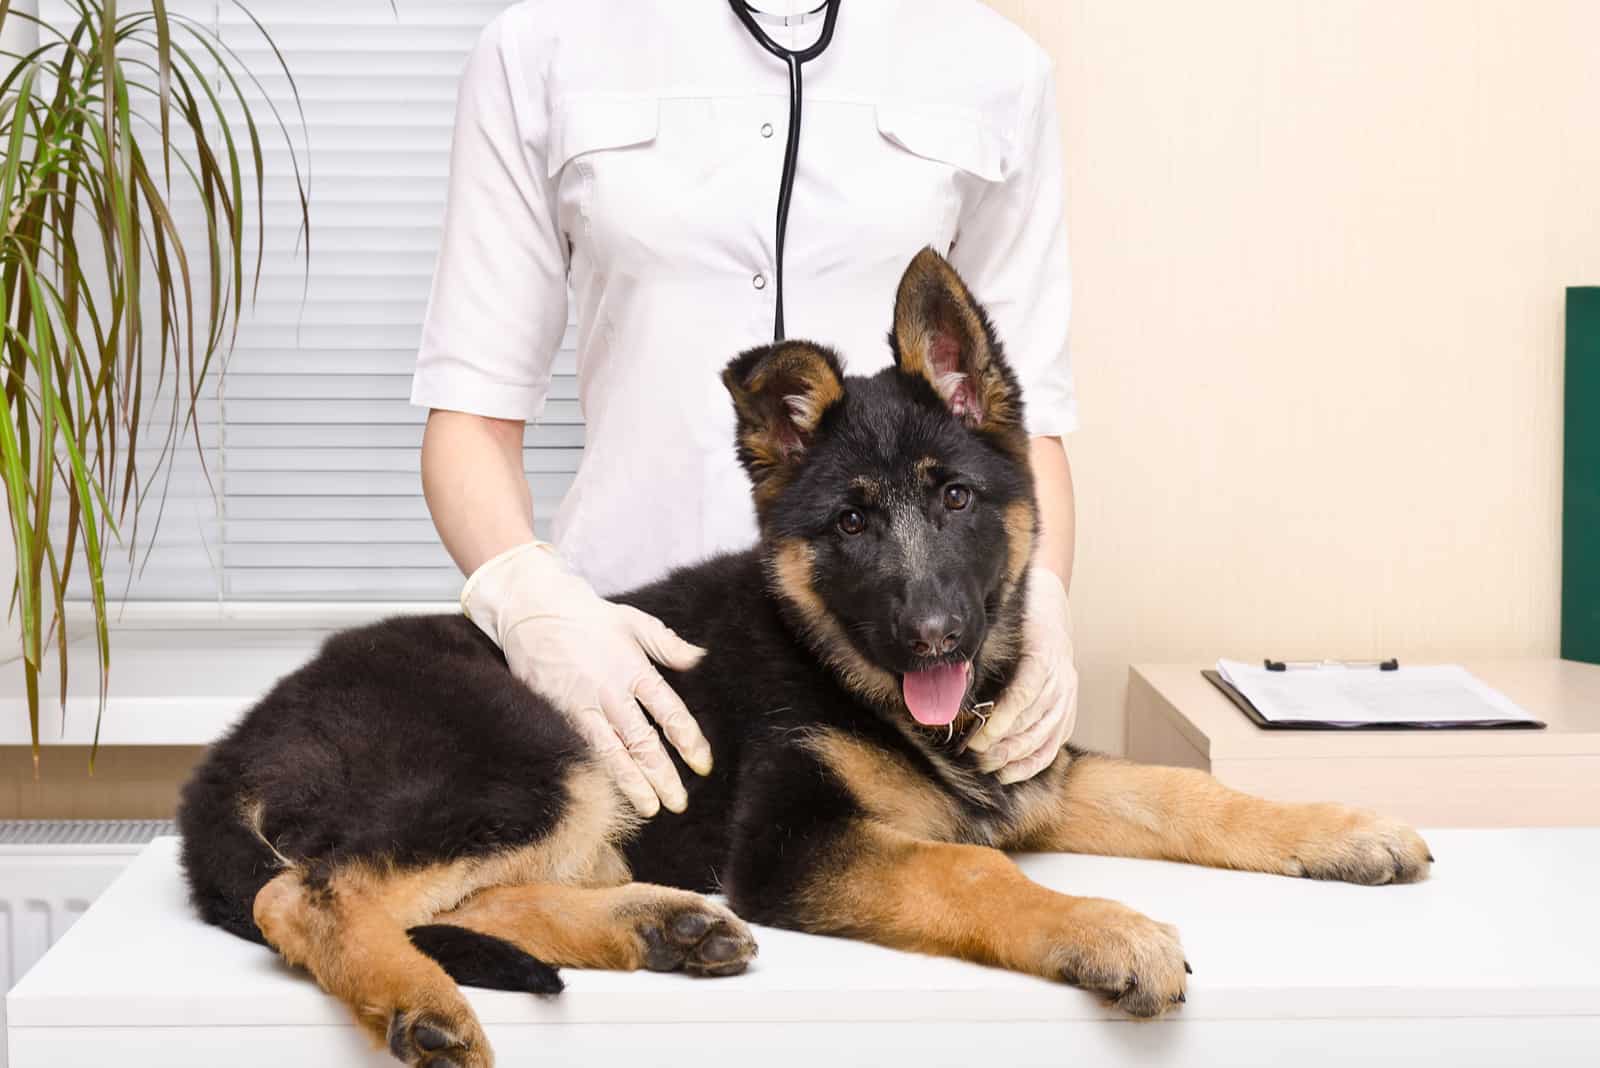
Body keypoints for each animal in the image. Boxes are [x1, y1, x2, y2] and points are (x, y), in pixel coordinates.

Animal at [181, 251, 1433, 1068]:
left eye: (956, 497)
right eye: (851, 525)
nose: (933, 638)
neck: (847, 670)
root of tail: (229, 749)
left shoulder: (1033, 777)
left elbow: (1186, 792)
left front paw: (1341, 828)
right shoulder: (793, 843)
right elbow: (974, 875)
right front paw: (1103, 929)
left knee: (465, 891)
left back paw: (654, 927)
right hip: (533, 749)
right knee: (313, 893)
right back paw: (422, 1001)